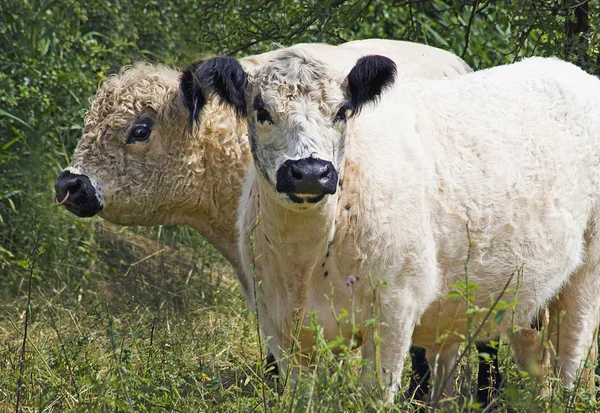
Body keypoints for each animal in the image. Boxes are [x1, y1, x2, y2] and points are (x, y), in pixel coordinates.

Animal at [193, 50, 600, 400]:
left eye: (342, 111)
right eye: (262, 111)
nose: (310, 171)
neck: (304, 260)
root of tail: (570, 71)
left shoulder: (394, 310)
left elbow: (375, 393)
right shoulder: (278, 324)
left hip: (588, 271)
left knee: (572, 352)